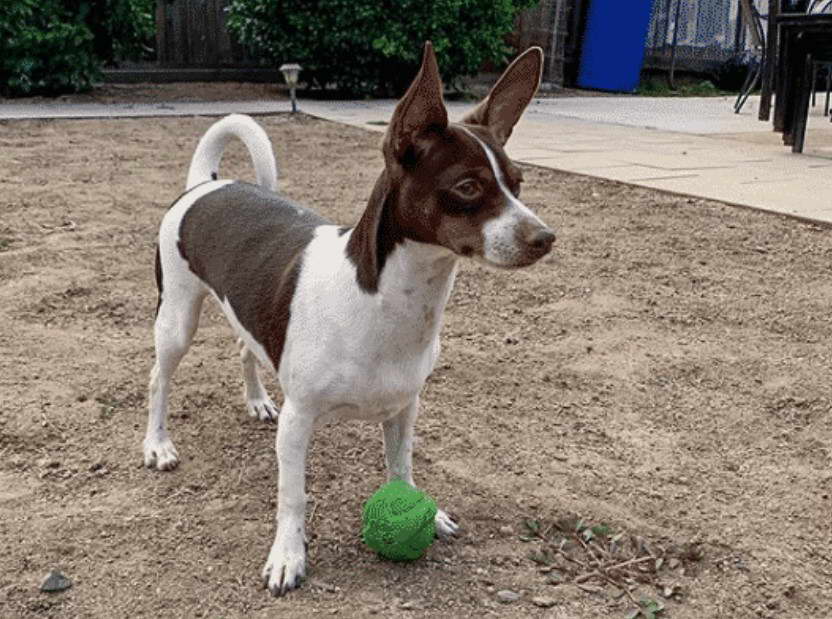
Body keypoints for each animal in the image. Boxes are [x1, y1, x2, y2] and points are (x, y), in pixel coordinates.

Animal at [146, 42, 556, 596]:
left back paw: (255, 400)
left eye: (518, 184)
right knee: (158, 378)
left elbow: (401, 470)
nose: (545, 238)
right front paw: (288, 556)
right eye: (468, 186)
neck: (383, 306)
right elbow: (292, 497)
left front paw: (425, 512)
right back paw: (157, 445)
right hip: (177, 319)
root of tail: (205, 185)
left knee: (243, 347)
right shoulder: (298, 422)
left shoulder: (404, 410)